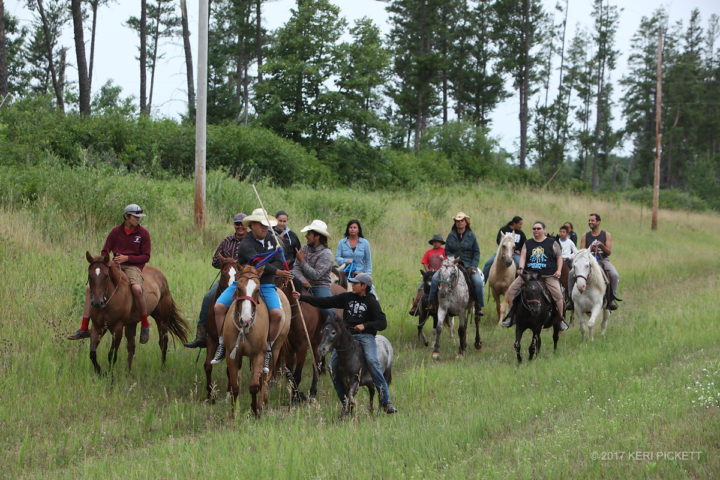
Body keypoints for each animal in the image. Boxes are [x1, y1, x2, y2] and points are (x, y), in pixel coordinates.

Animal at [202, 255, 239, 402]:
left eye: (237, 274)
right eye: (223, 273)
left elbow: (230, 369)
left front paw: (229, 394)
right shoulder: (211, 339)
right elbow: (207, 365)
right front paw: (210, 394)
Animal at [225, 264, 292, 418]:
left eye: (257, 289)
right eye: (239, 288)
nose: (245, 319)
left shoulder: (259, 355)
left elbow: (254, 386)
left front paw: (256, 409)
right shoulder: (232, 355)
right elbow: (235, 387)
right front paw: (233, 415)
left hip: (276, 348)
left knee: (266, 377)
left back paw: (262, 403)